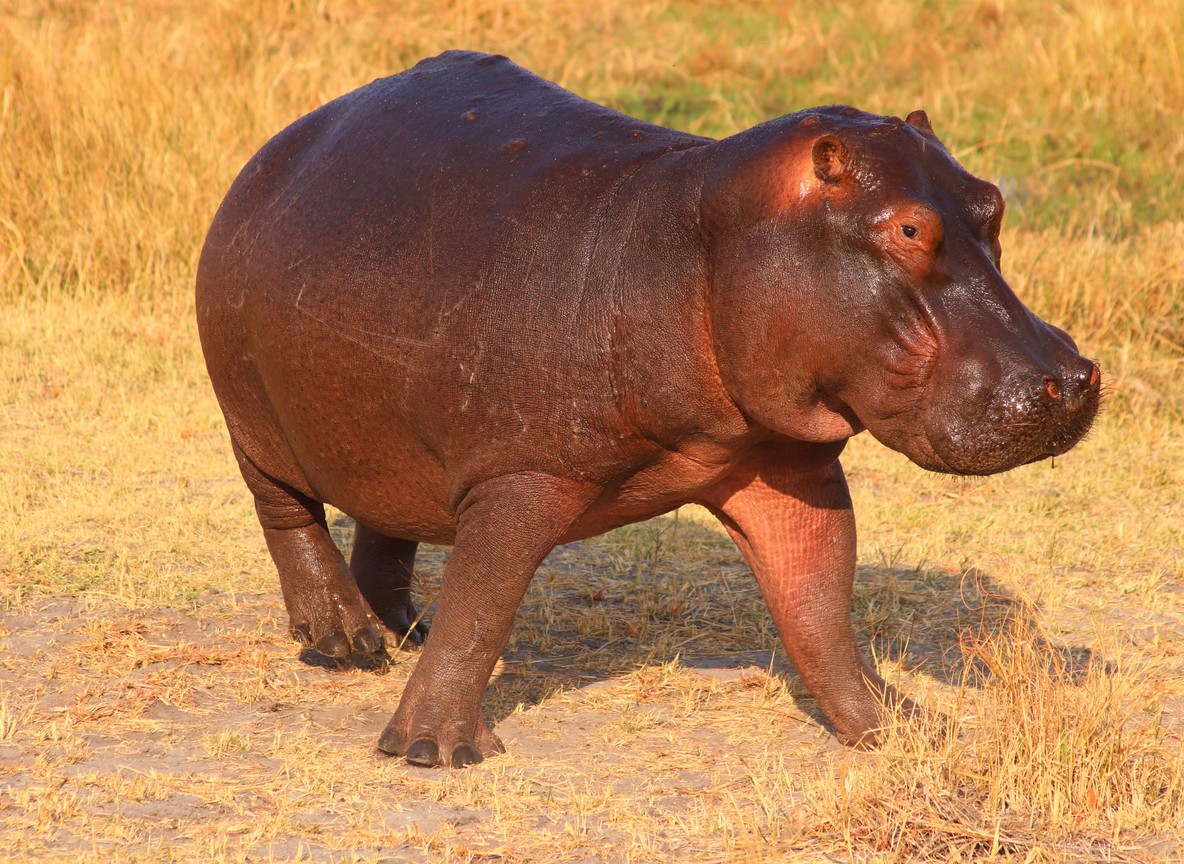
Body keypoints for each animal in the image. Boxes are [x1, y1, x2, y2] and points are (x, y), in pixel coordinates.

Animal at [196, 50, 1101, 768]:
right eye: (909, 229)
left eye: (992, 203)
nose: (1073, 376)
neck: (699, 240)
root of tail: (286, 140)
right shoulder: (522, 476)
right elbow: (484, 603)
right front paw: (434, 751)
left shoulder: (786, 468)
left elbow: (820, 609)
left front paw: (907, 729)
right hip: (253, 419)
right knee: (287, 513)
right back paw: (344, 643)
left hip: (396, 435)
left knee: (391, 519)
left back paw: (400, 631)